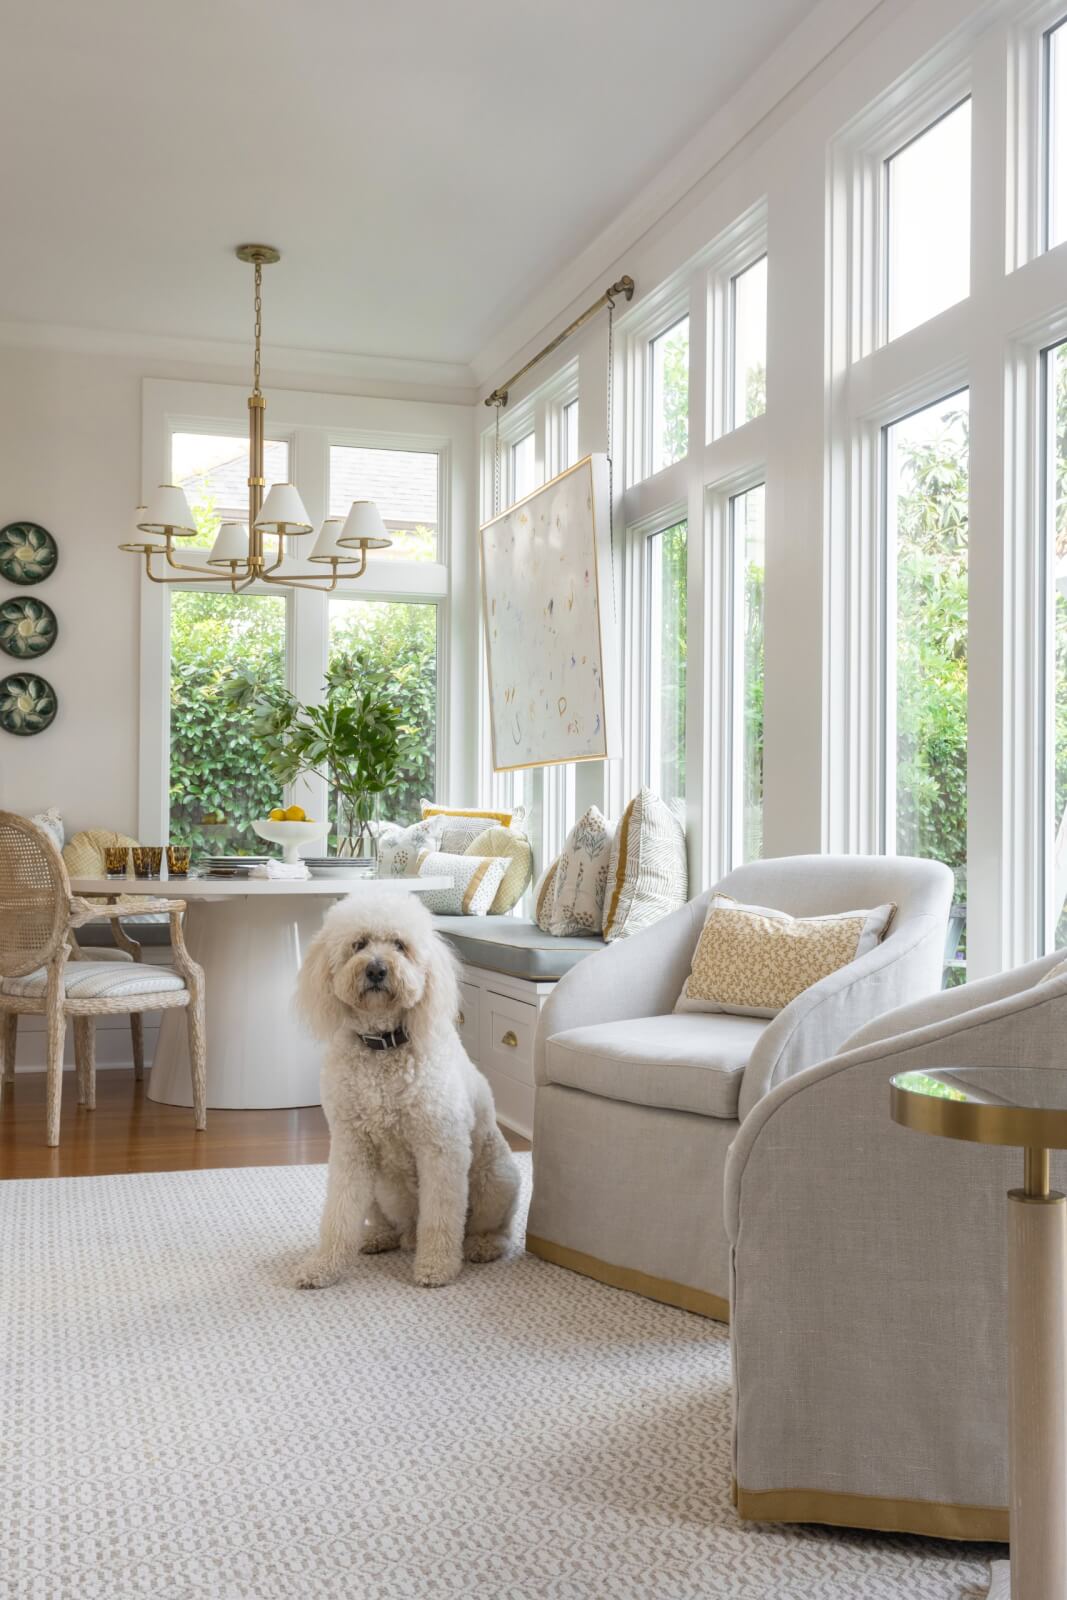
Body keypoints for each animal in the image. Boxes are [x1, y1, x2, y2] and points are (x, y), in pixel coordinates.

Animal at [295, 889, 521, 1286]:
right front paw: (323, 1266)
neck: (384, 1043)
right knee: (391, 1225)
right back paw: (378, 1237)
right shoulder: (351, 1147)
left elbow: (441, 1218)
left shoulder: (440, 1148)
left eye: (400, 945)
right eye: (359, 944)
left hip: (496, 1180)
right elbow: (338, 1214)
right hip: (377, 1192)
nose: (376, 969)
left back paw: (481, 1246)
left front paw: (436, 1267)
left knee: (492, 1229)